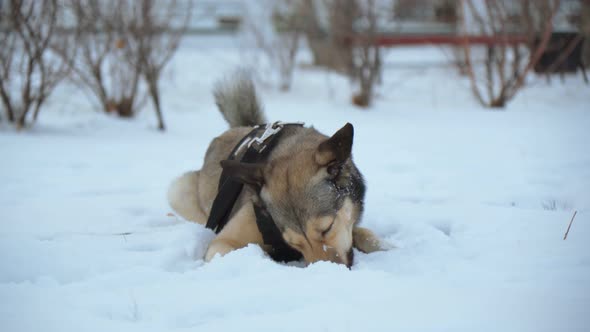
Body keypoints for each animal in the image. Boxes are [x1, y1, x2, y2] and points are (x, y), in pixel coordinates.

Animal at [169, 73, 386, 268]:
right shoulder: (223, 242)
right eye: (294, 243)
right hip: (179, 190)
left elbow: (365, 234)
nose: (326, 271)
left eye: (327, 228)